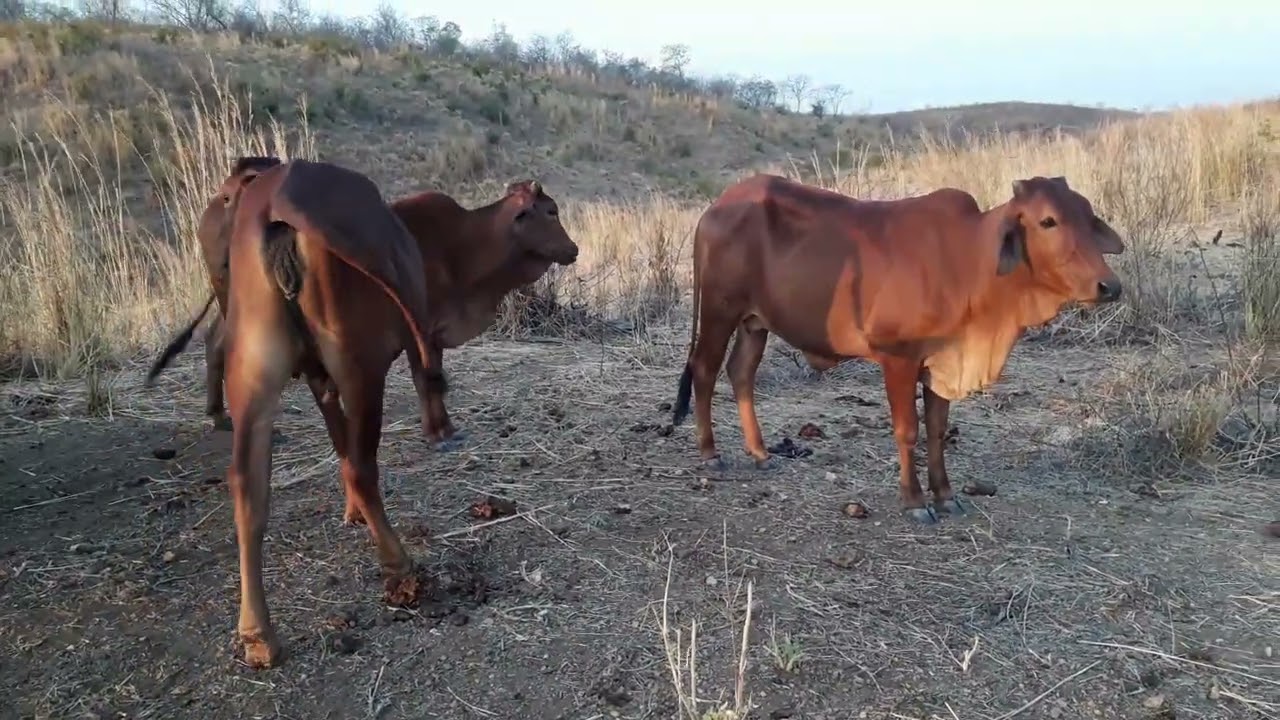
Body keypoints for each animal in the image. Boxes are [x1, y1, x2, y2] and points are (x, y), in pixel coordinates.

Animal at [148, 158, 447, 668]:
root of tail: (278, 202)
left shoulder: (315, 375)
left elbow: (337, 435)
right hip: (359, 363)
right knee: (364, 465)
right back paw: (398, 563)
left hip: (254, 372)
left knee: (248, 486)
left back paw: (258, 635)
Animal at [669, 173, 1125, 525]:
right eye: (1048, 221)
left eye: (1088, 216)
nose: (1109, 286)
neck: (967, 264)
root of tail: (717, 206)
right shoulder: (899, 358)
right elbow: (908, 430)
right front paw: (915, 501)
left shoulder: (942, 362)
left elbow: (937, 431)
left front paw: (947, 496)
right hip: (719, 310)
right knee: (705, 368)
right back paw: (710, 453)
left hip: (755, 322)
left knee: (740, 372)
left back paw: (761, 452)